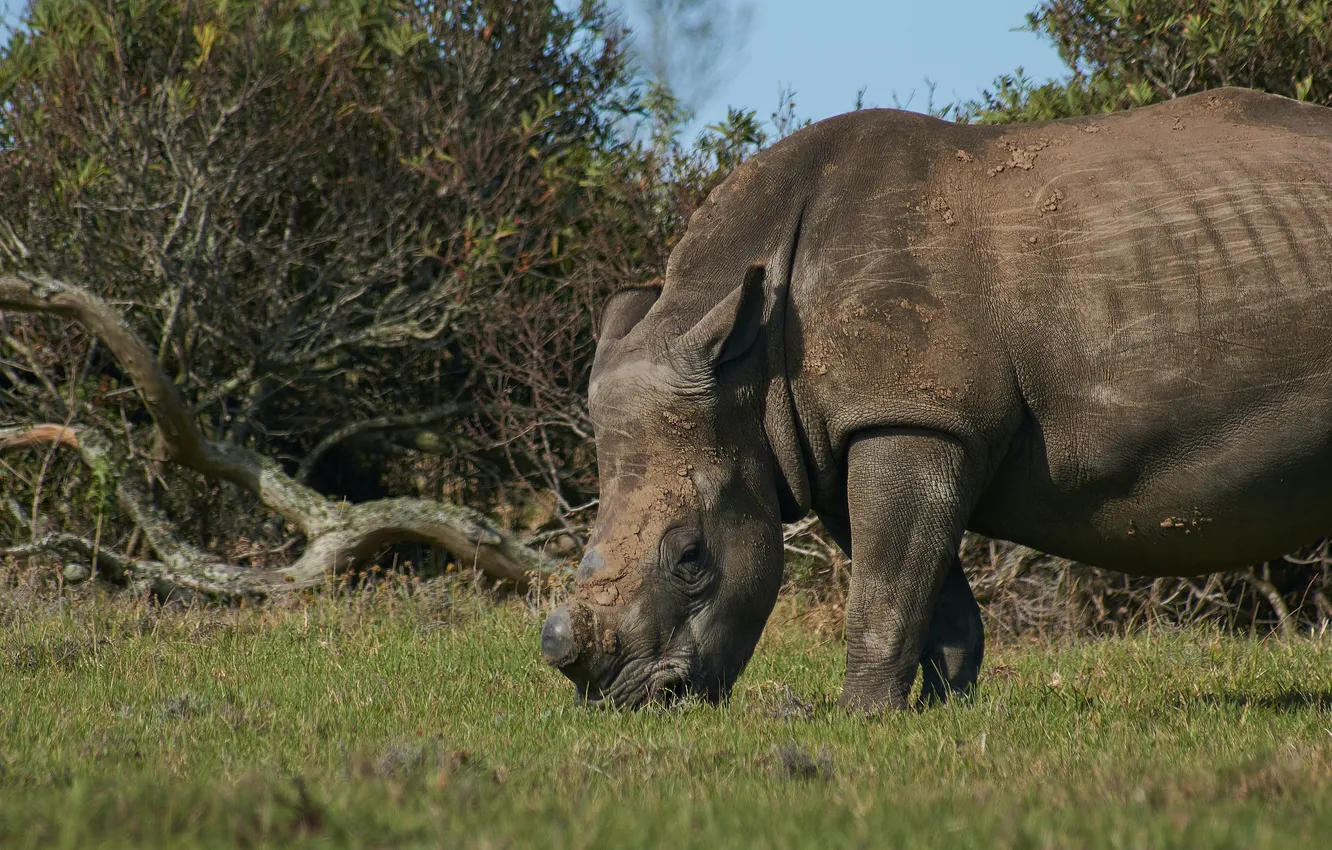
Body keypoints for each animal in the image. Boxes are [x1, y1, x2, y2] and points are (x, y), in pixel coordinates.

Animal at [540, 88, 1332, 711]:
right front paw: (943, 707)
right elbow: (927, 588)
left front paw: (861, 718)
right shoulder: (855, 432)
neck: (749, 373)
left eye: (691, 557)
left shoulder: (913, 416)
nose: (619, 700)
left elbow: (885, 589)